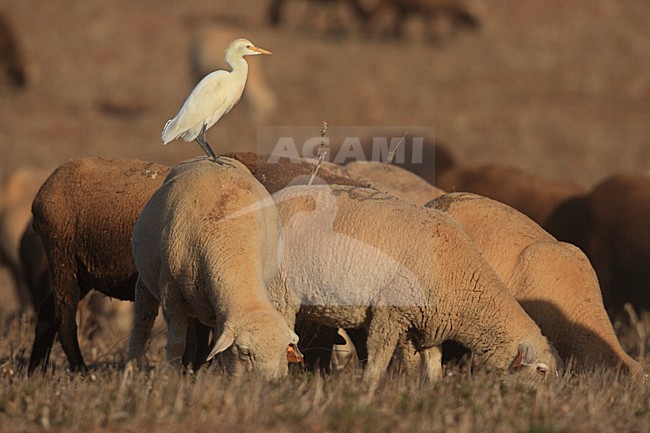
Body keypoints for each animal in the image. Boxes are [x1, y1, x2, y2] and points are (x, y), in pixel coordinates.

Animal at [129, 157, 301, 378]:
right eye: (245, 352)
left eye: (282, 352)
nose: (267, 383)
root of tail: (206, 158)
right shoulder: (170, 293)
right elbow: (176, 344)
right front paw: (171, 377)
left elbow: (222, 353)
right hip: (147, 282)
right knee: (142, 323)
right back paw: (130, 368)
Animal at [268, 184, 562, 385]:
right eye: (541, 370)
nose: (548, 402)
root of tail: (272, 199)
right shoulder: (389, 313)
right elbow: (379, 357)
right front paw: (368, 389)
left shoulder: (426, 324)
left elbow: (430, 365)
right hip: (280, 288)